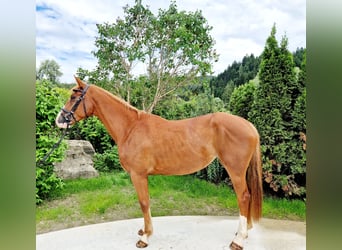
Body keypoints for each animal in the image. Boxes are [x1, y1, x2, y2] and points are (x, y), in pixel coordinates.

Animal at [56, 77, 264, 249]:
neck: (131, 128)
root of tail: (249, 125)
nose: (59, 120)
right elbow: (145, 203)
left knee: (243, 196)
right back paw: (242, 232)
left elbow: (144, 203)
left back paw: (238, 240)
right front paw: (144, 230)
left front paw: (145, 237)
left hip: (235, 170)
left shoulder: (138, 175)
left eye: (74, 97)